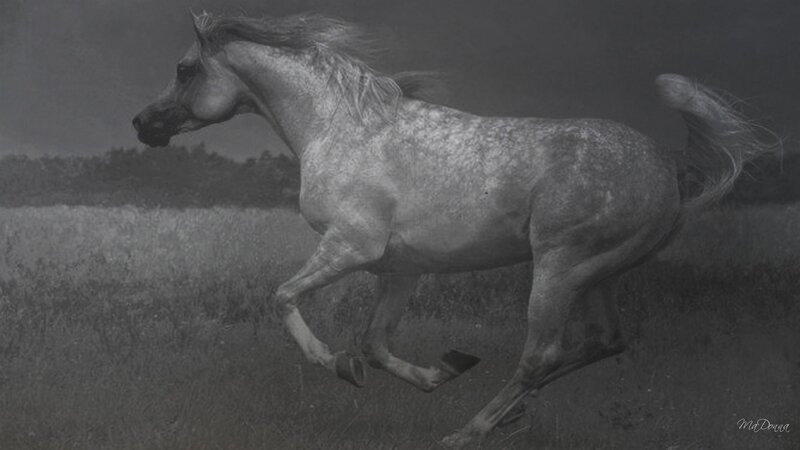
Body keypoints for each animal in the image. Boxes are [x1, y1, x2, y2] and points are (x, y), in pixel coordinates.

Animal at [132, 12, 773, 447]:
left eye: (184, 69)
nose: (142, 124)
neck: (340, 129)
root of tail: (670, 164)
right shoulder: (399, 269)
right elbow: (376, 344)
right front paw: (437, 370)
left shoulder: (349, 247)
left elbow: (285, 297)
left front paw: (335, 364)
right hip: (600, 273)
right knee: (605, 341)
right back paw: (508, 413)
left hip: (561, 267)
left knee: (541, 354)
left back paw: (470, 431)